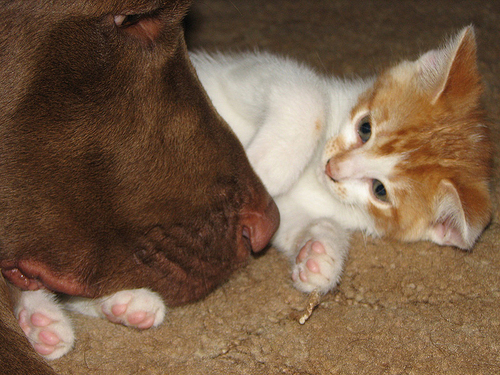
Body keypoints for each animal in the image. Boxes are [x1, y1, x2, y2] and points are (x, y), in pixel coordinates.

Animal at [191, 26, 492, 296]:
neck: (311, 173)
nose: (332, 167)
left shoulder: (285, 209)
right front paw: (263, 166)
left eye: (380, 191)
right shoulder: (246, 72)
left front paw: (320, 257)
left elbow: (281, 220)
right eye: (365, 128)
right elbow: (309, 99)